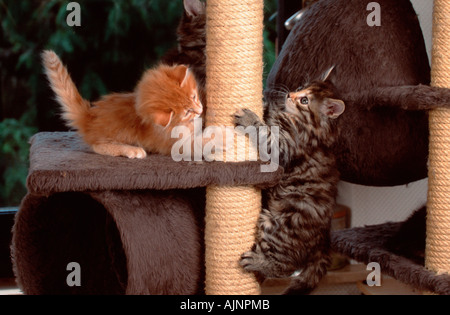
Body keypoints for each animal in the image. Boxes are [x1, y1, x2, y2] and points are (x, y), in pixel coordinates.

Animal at [234, 68, 342, 296]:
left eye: (304, 100)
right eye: (301, 87)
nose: (289, 95)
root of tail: (323, 239)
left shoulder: (285, 145)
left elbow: (263, 132)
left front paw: (250, 118)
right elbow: (268, 112)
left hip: (276, 225)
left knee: (285, 267)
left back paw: (258, 263)